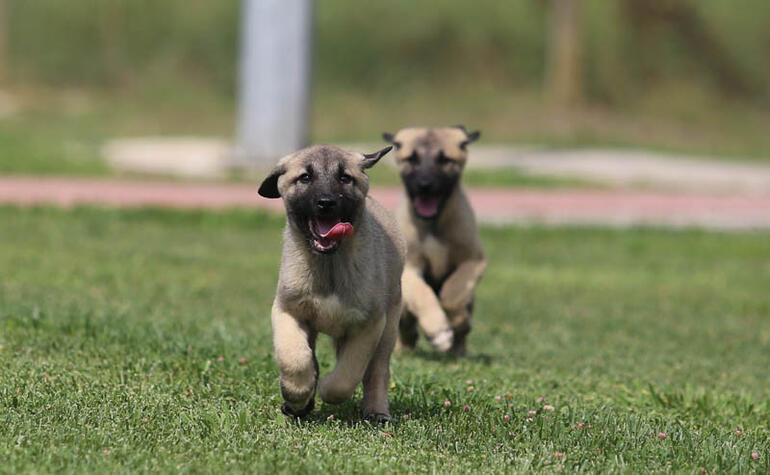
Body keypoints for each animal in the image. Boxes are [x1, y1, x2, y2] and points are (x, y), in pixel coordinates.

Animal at [256, 143, 404, 422]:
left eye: (345, 178)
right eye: (305, 177)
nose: (326, 203)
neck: (329, 266)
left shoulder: (369, 325)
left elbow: (346, 376)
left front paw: (325, 387)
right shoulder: (288, 311)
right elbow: (295, 358)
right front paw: (297, 393)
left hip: (389, 328)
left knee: (377, 372)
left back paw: (377, 412)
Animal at [382, 126, 486, 356]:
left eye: (445, 160)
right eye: (411, 159)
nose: (425, 186)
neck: (433, 223)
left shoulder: (474, 261)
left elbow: (454, 291)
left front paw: (456, 321)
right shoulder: (409, 267)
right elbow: (422, 293)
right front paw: (438, 331)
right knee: (405, 321)